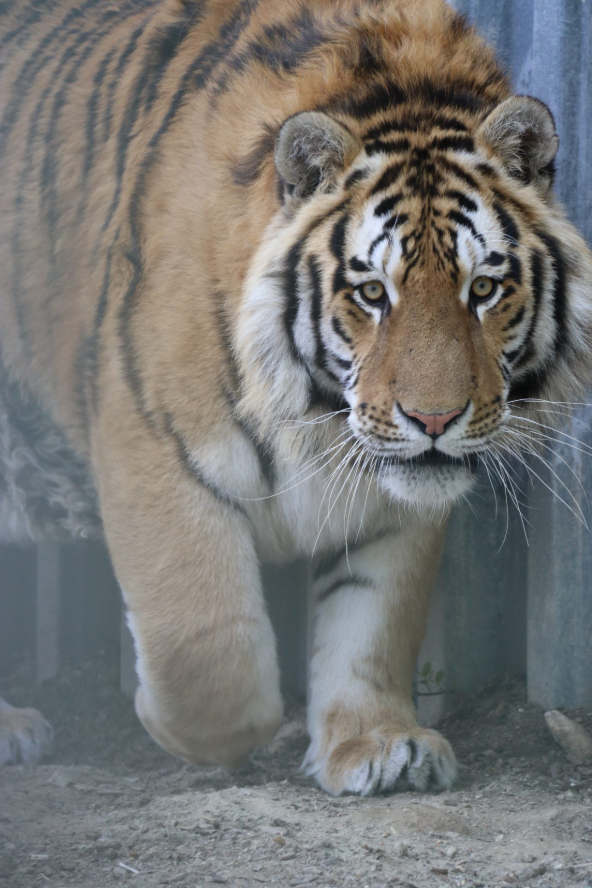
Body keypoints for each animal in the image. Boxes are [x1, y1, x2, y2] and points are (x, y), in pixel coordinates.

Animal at [1, 0, 592, 796]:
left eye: (484, 288)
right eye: (372, 293)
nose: (434, 419)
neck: (316, 420)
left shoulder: (393, 500)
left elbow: (373, 623)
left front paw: (380, 746)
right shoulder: (152, 444)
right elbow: (205, 650)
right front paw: (183, 727)